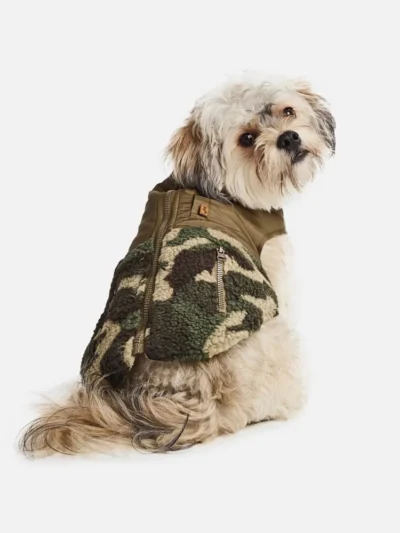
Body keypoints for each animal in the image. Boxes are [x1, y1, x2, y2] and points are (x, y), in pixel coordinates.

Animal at [20, 74, 335, 456]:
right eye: (246, 139)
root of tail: (184, 399)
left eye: (287, 111)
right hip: (276, 342)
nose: (288, 137)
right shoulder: (274, 267)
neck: (222, 192)